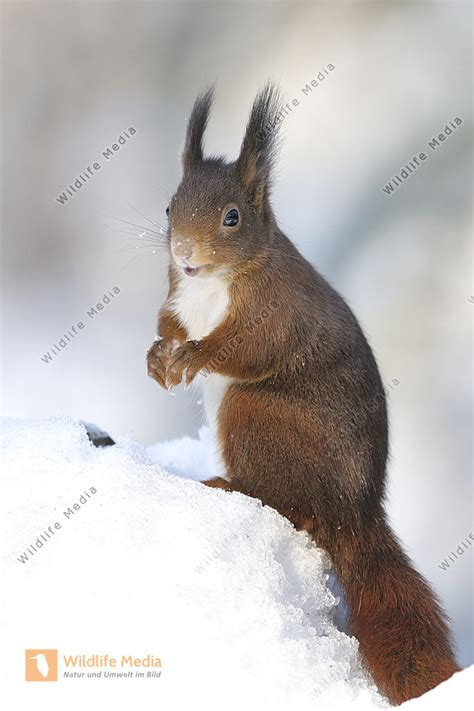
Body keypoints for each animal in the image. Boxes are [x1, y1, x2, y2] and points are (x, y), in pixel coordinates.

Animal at [147, 86, 460, 704]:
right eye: (169, 208)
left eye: (232, 217)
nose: (185, 254)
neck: (209, 284)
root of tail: (353, 513)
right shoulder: (176, 297)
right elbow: (168, 323)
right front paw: (158, 359)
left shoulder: (275, 312)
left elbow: (245, 348)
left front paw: (193, 357)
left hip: (255, 415)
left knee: (292, 507)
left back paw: (232, 485)